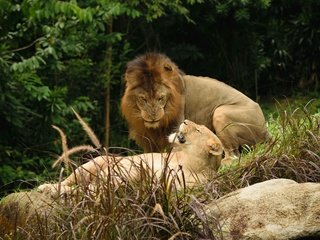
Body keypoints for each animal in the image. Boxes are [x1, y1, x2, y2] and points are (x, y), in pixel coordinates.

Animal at [37, 120, 222, 197]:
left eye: (198, 130)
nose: (184, 120)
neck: (186, 161)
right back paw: (46, 187)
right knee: (70, 182)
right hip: (91, 165)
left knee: (85, 188)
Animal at [120, 52, 270, 163]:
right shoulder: (148, 140)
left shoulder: (176, 127)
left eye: (160, 98)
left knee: (233, 155)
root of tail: (266, 132)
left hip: (221, 112)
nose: (152, 116)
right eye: (143, 99)